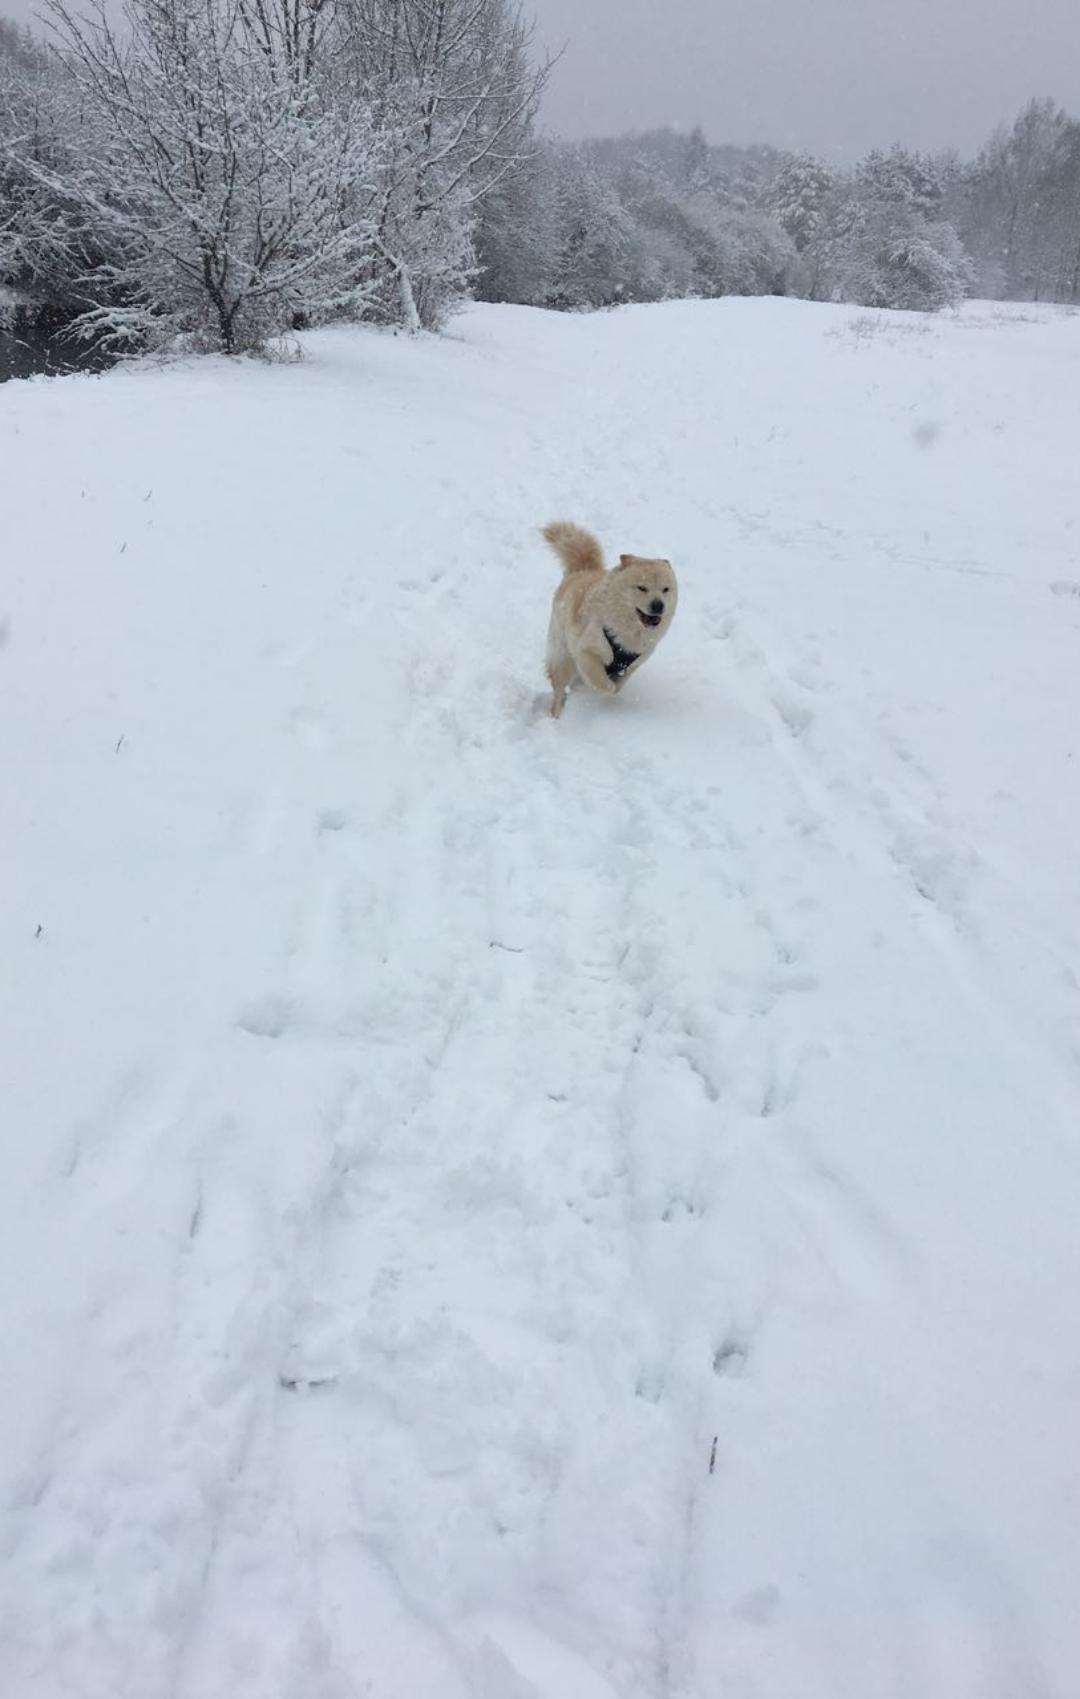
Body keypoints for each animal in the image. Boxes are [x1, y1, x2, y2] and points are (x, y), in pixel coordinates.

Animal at [540, 516, 675, 716]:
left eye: (666, 589)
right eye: (642, 588)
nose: (658, 605)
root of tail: (581, 570)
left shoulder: (633, 664)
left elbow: (620, 683)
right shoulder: (586, 650)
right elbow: (601, 681)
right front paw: (604, 688)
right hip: (562, 656)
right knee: (558, 690)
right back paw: (557, 713)